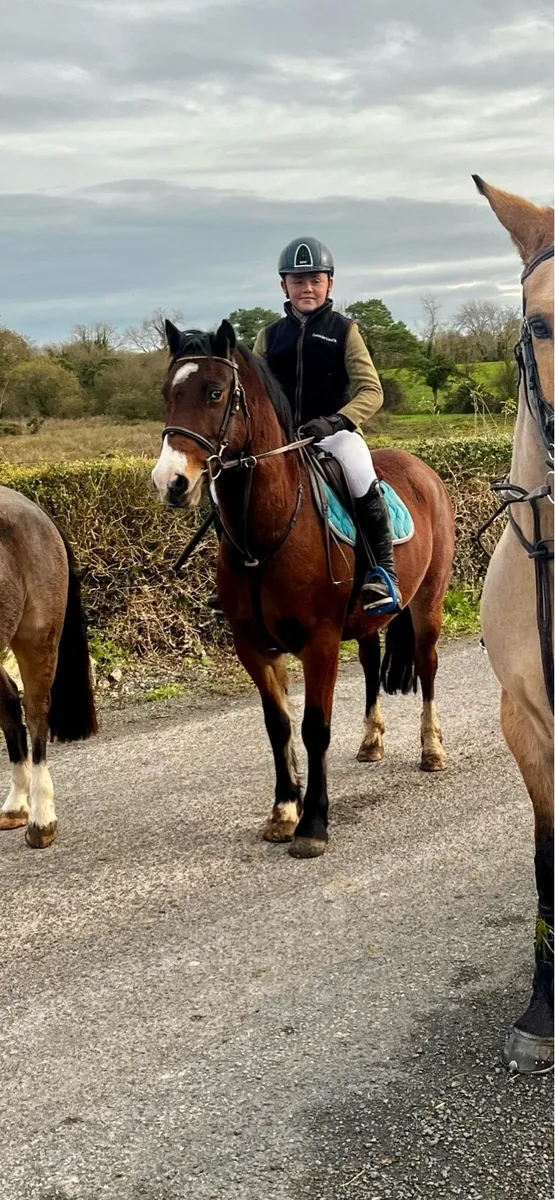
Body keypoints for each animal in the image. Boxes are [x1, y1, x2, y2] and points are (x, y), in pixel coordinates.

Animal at [152, 322, 455, 859]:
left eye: (215, 392)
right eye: (168, 393)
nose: (171, 482)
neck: (265, 533)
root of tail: (423, 470)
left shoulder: (319, 642)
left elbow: (315, 728)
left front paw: (313, 823)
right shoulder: (253, 646)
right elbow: (278, 727)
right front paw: (283, 811)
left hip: (428, 606)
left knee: (427, 667)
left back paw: (432, 748)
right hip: (367, 620)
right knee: (372, 665)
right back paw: (371, 741)